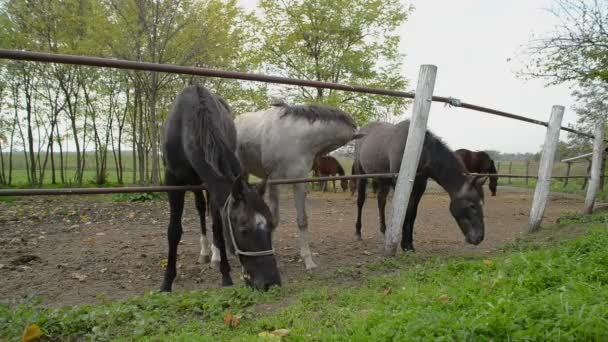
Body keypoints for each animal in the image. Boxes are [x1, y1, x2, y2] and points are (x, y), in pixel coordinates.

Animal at [164, 85, 282, 292]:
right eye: (244, 230)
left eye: (271, 226)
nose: (271, 282)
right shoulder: (173, 182)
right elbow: (174, 231)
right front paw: (166, 282)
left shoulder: (213, 188)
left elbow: (219, 229)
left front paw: (225, 275)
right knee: (200, 209)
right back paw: (204, 252)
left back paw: (214, 255)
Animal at [200, 102, 360, 270]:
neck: (297, 139)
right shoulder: (274, 181)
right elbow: (274, 219)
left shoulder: (299, 183)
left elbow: (302, 220)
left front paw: (308, 260)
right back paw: (216, 255)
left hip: (242, 175)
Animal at [354, 121, 486, 250]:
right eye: (472, 205)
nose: (479, 238)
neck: (418, 153)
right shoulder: (400, 185)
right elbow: (406, 213)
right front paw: (404, 245)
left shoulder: (420, 187)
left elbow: (412, 214)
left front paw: (409, 244)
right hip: (362, 174)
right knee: (361, 201)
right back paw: (358, 232)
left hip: (383, 180)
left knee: (381, 201)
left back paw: (384, 231)